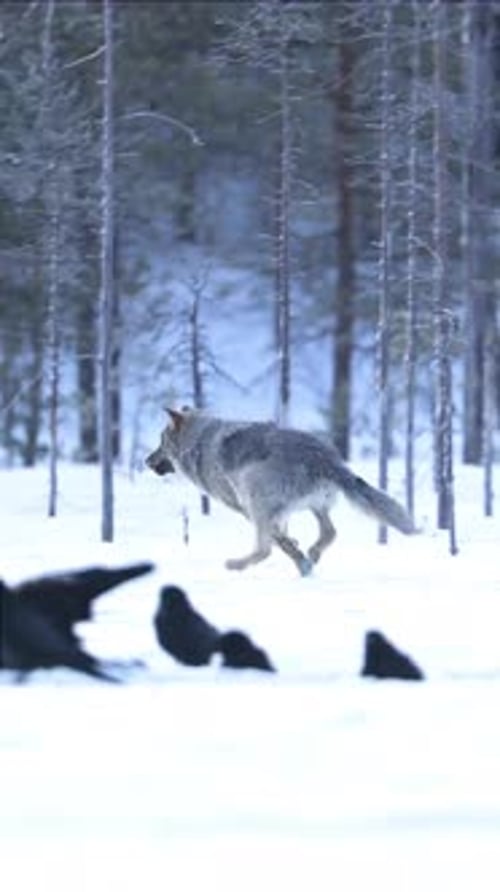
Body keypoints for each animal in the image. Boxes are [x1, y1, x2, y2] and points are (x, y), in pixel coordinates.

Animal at [146, 407, 415, 576]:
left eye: (160, 442)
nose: (146, 461)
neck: (199, 442)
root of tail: (325, 458)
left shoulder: (247, 510)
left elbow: (278, 541)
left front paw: (296, 555)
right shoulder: (277, 514)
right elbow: (284, 536)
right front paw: (298, 550)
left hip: (254, 493)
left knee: (263, 550)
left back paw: (237, 564)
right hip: (316, 506)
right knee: (330, 532)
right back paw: (312, 554)